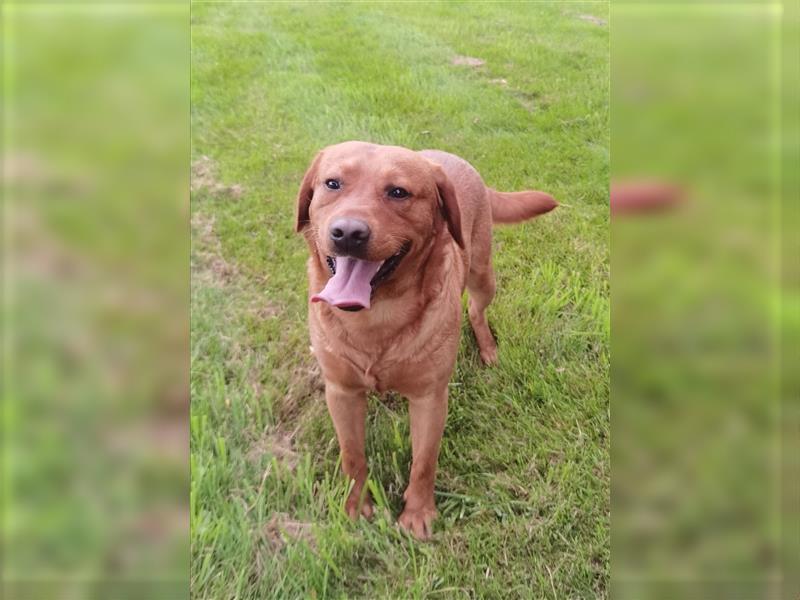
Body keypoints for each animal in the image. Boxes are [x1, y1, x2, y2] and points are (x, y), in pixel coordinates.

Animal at [296, 142, 556, 540]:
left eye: (398, 192)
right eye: (333, 183)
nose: (348, 233)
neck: (376, 316)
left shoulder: (429, 398)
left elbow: (424, 461)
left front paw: (418, 513)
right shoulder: (341, 392)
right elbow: (352, 455)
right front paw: (356, 507)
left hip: (483, 274)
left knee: (476, 310)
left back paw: (487, 347)